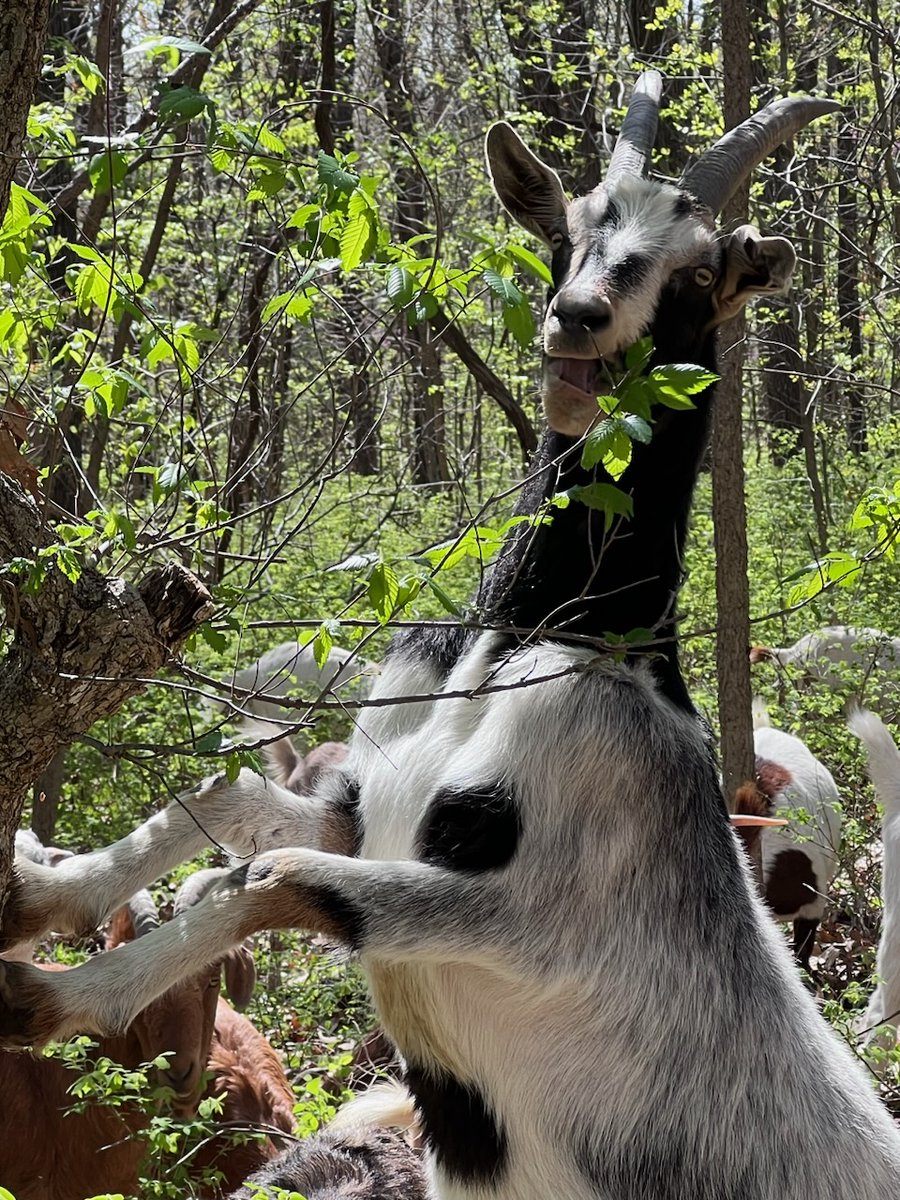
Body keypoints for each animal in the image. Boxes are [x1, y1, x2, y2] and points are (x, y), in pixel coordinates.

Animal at [5, 76, 900, 1198]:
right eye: (567, 232)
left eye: (702, 270)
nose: (580, 319)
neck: (535, 638)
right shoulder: (369, 805)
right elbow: (227, 799)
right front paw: (35, 894)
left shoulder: (532, 921)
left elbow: (274, 881)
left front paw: (42, 997)